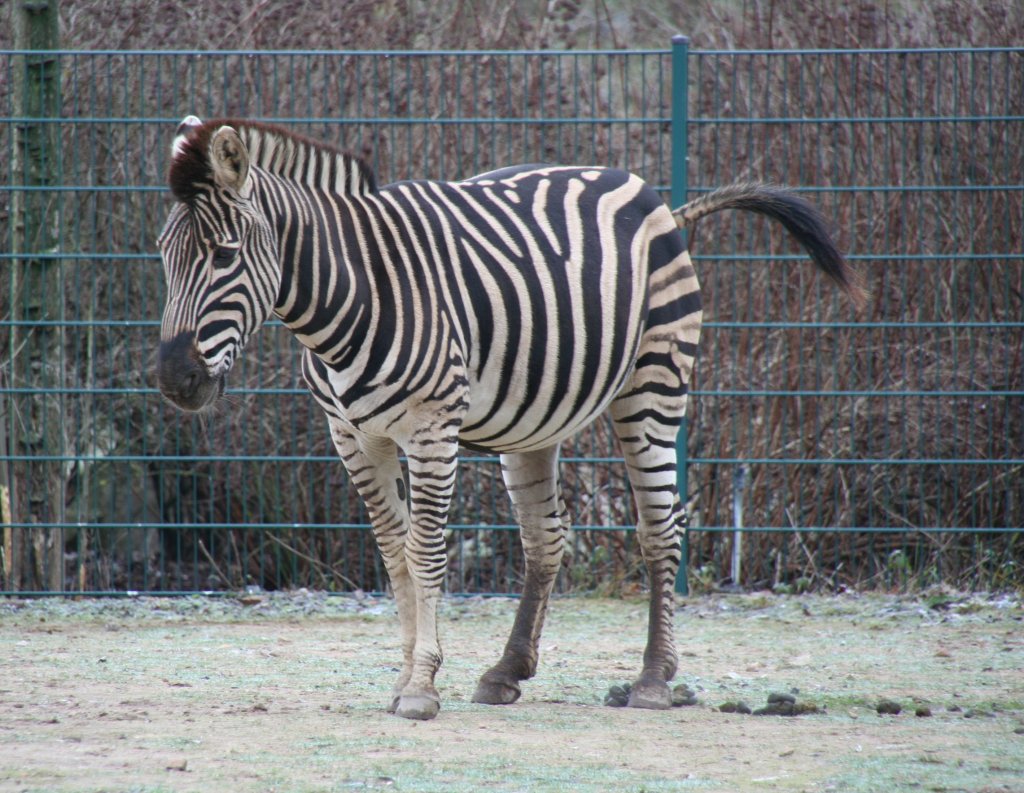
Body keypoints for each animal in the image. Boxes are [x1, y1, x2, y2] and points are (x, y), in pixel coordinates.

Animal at [157, 116, 864, 721]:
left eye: (223, 255)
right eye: (163, 254)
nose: (173, 379)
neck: (354, 293)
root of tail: (652, 196)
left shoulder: (430, 428)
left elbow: (425, 552)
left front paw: (420, 686)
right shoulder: (353, 437)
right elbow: (393, 555)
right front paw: (405, 677)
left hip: (654, 383)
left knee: (660, 526)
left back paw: (653, 679)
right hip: (536, 418)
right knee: (546, 537)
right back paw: (508, 670)